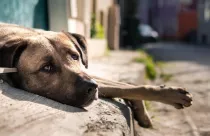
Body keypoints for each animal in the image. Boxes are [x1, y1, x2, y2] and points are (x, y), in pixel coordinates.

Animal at [0, 22, 192, 128]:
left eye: (75, 56)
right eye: (46, 67)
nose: (92, 88)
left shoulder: (88, 73)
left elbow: (127, 86)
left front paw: (164, 97)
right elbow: (125, 87)